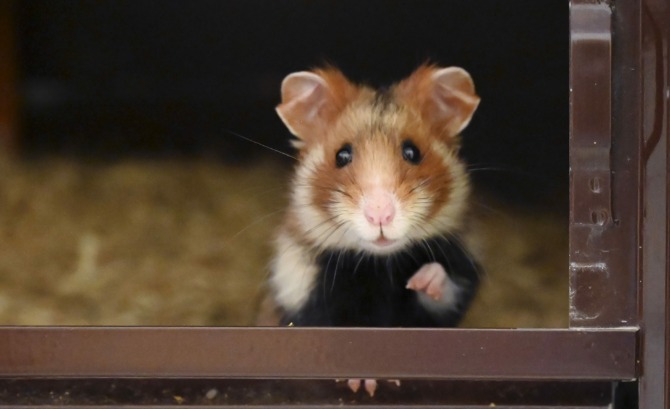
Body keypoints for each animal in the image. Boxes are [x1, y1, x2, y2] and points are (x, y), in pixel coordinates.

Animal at [269, 64, 482, 329]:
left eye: (412, 152)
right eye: (341, 156)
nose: (380, 216)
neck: (380, 264)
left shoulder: (459, 277)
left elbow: (444, 287)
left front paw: (421, 280)